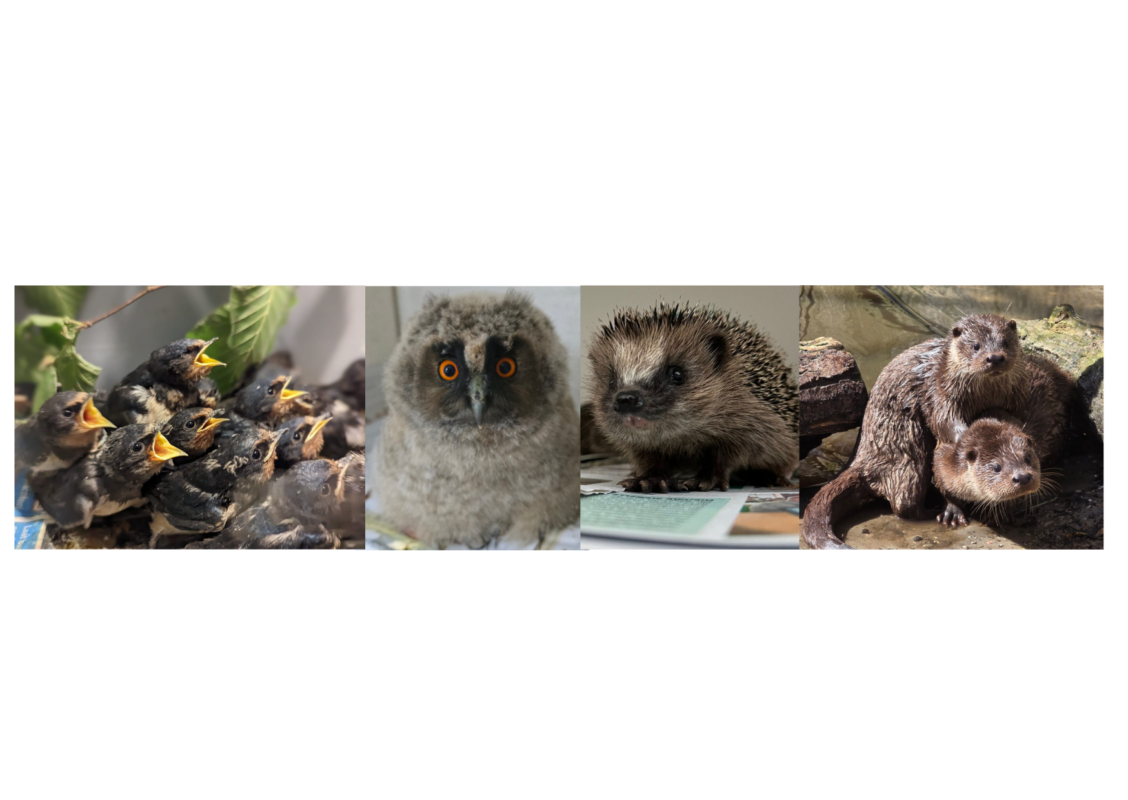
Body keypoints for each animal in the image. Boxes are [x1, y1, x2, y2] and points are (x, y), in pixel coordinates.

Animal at [803, 314, 1030, 549]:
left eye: (1005, 342)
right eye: (975, 345)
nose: (995, 358)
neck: (983, 395)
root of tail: (862, 457)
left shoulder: (1017, 396)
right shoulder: (939, 389)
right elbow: (944, 421)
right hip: (907, 448)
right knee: (904, 502)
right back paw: (933, 511)